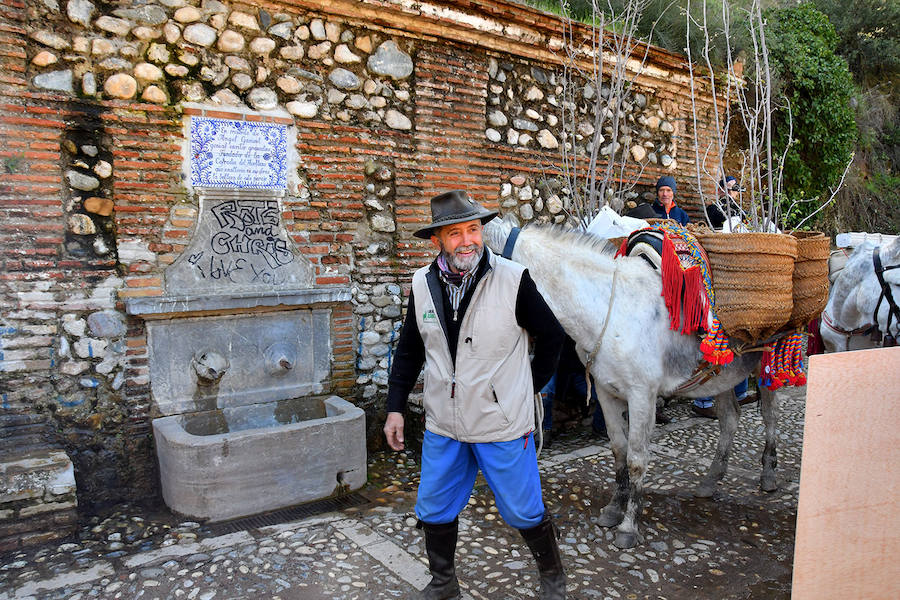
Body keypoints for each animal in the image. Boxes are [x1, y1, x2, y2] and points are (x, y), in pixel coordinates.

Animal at [482, 219, 776, 548]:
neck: (608, 310)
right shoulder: (606, 392)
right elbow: (618, 451)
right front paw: (613, 509)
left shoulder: (641, 397)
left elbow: (636, 458)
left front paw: (628, 527)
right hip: (720, 375)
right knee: (730, 419)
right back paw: (711, 481)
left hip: (767, 366)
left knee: (769, 417)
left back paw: (768, 475)